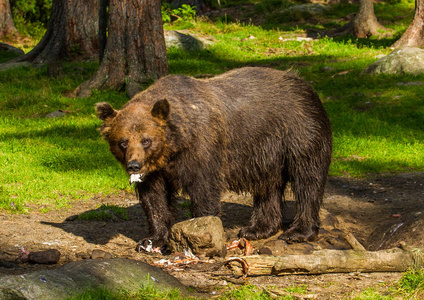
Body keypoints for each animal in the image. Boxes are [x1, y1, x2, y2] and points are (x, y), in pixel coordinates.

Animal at [96, 67, 332, 250]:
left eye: (146, 140)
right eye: (123, 141)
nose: (134, 166)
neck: (176, 144)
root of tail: (307, 86)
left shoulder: (204, 148)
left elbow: (204, 190)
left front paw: (199, 233)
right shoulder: (156, 170)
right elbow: (154, 199)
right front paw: (151, 240)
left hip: (298, 132)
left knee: (307, 180)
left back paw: (298, 231)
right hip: (266, 153)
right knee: (268, 187)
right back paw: (257, 228)